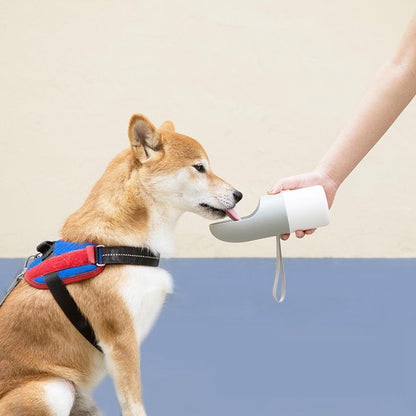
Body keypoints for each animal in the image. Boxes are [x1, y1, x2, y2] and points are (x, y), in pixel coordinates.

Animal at [0, 114, 242, 416]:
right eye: (199, 168)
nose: (239, 195)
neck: (109, 247)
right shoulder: (121, 340)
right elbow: (134, 404)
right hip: (53, 389)